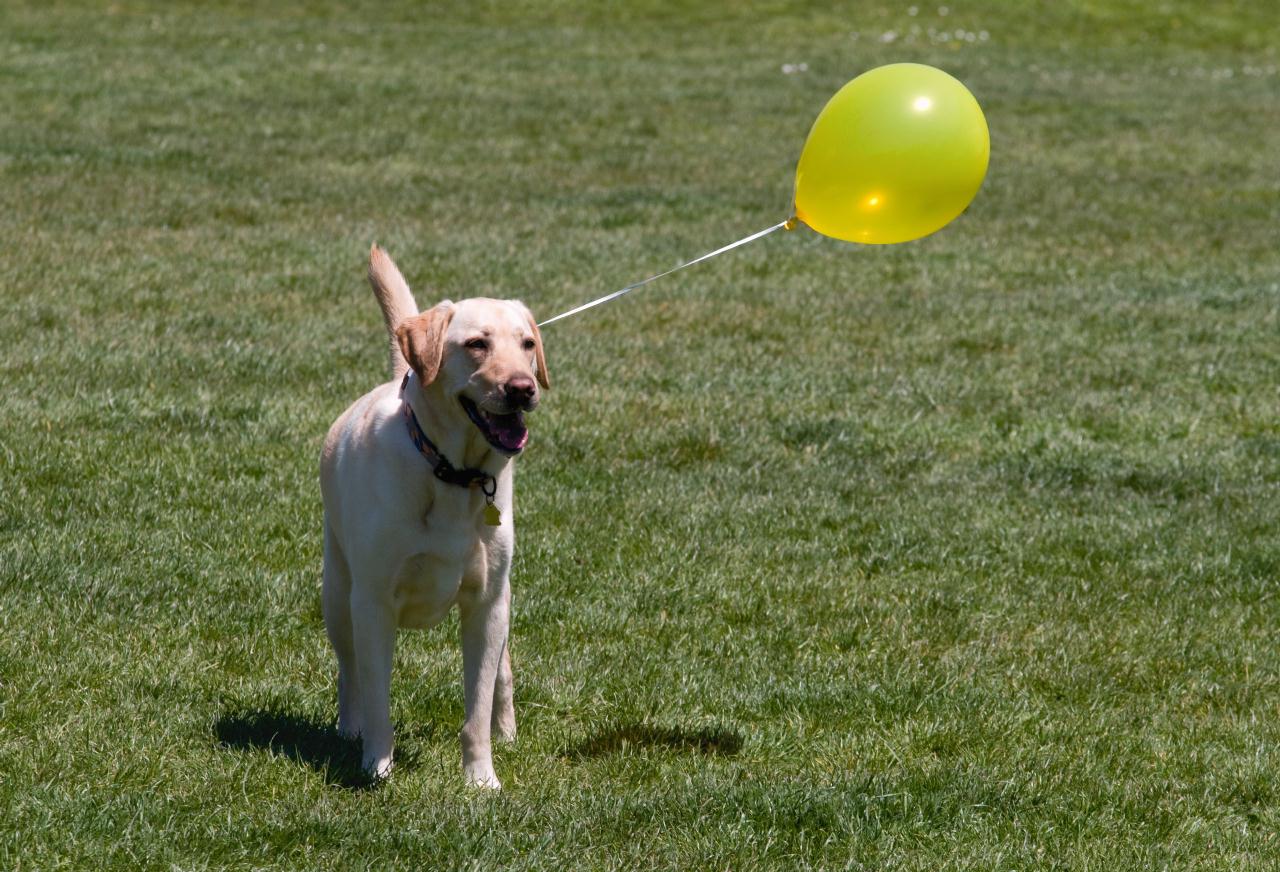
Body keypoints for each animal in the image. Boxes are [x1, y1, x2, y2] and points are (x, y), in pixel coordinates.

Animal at [317, 244, 547, 788]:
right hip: (337, 593)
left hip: (504, 600)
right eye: (477, 344)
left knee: (504, 672)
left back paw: (508, 730)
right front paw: (377, 769)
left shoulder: (486, 606)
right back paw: (349, 728)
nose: (523, 388)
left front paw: (481, 778)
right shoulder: (373, 602)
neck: (452, 474)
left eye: (528, 344)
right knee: (349, 668)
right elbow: (377, 696)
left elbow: (477, 704)